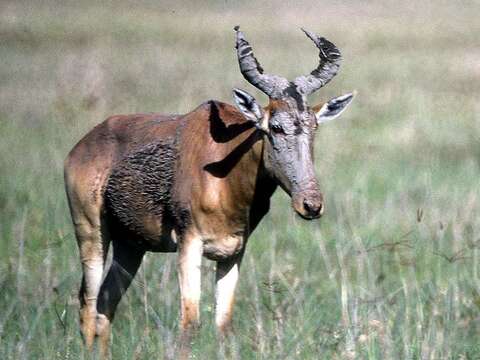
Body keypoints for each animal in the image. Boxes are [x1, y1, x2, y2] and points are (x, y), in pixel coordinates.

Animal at [64, 26, 352, 356]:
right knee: (87, 304)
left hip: (130, 246)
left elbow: (224, 326)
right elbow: (190, 324)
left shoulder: (234, 251)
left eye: (313, 126)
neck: (224, 167)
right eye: (275, 127)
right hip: (91, 232)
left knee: (106, 303)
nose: (311, 204)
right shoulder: (189, 243)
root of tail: (85, 143)